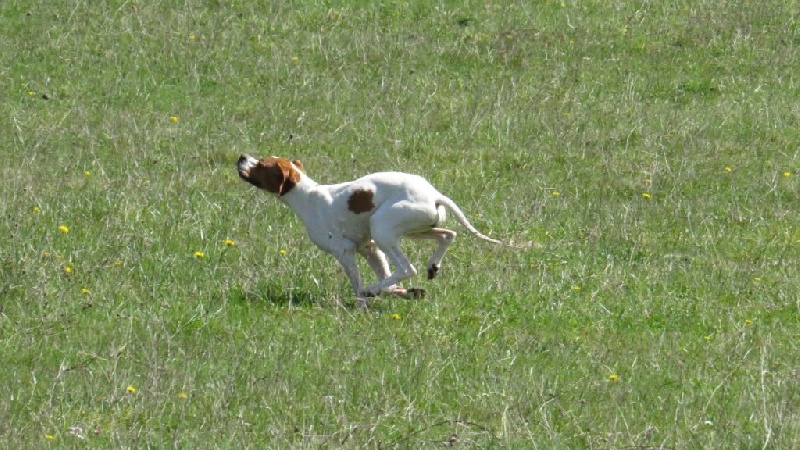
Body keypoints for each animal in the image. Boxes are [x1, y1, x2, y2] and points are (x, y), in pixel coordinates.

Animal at [238, 155, 500, 306]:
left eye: (261, 165)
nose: (241, 156)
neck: (307, 195)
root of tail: (434, 194)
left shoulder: (345, 251)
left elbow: (359, 284)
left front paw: (362, 302)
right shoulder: (370, 248)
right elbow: (390, 283)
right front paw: (406, 293)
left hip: (382, 228)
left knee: (407, 268)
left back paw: (372, 289)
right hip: (413, 230)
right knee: (448, 235)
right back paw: (432, 266)